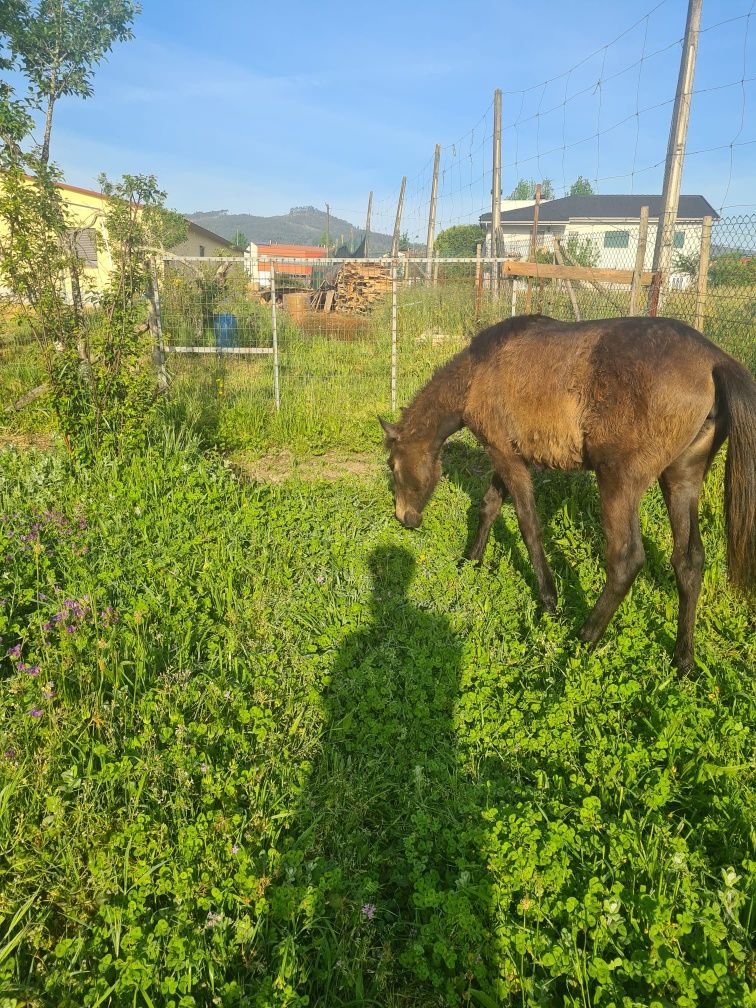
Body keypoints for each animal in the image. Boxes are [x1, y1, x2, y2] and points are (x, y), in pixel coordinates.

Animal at [385, 318, 756, 673]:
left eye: (392, 465)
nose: (404, 518)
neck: (477, 372)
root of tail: (714, 360)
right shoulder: (510, 455)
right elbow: (489, 506)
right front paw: (470, 559)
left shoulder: (504, 454)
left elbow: (528, 524)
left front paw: (549, 601)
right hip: (682, 480)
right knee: (688, 560)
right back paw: (683, 661)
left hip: (618, 483)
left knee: (626, 559)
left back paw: (584, 637)